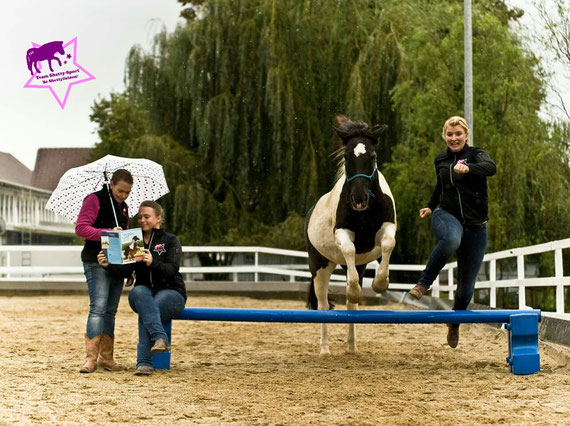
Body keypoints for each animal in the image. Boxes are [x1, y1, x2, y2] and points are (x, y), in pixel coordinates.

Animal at [306, 115, 394, 354]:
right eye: (346, 157)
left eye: (372, 156)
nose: (359, 199)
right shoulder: (343, 233)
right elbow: (348, 248)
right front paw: (355, 289)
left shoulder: (388, 227)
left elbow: (388, 244)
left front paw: (380, 283)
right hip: (320, 266)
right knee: (323, 305)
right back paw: (325, 349)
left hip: (358, 265)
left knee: (350, 306)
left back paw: (351, 347)